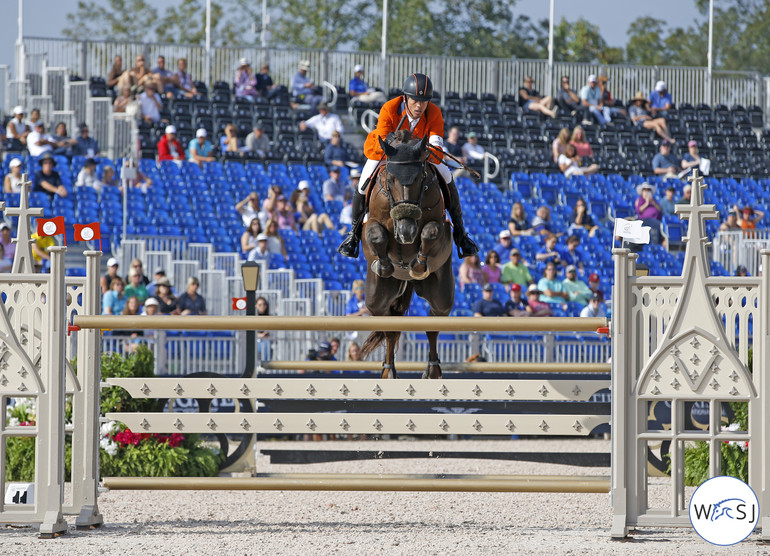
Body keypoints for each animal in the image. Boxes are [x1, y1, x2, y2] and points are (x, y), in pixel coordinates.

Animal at [356, 130, 452, 380]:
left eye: (421, 178)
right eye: (389, 179)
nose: (407, 231)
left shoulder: (441, 228)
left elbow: (430, 231)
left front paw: (417, 265)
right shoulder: (370, 227)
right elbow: (376, 235)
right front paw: (385, 266)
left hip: (441, 295)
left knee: (434, 324)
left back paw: (433, 370)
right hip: (377, 298)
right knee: (390, 327)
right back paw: (388, 371)